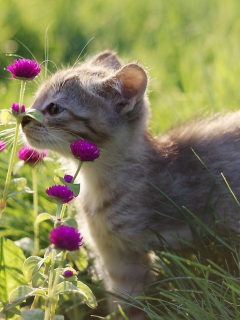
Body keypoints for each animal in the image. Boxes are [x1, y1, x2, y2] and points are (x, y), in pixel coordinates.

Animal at [20, 51, 240, 318]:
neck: (95, 183)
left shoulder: (130, 253)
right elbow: (120, 300)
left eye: (54, 108)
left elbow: (130, 305)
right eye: (35, 99)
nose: (23, 118)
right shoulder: (114, 257)